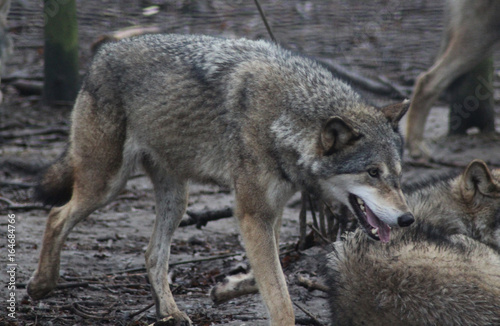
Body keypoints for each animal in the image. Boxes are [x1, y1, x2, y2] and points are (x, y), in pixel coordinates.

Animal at [25, 33, 412, 326]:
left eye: (398, 175)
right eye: (373, 173)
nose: (407, 218)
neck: (284, 117)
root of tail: (102, 54)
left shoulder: (267, 214)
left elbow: (270, 277)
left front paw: (227, 288)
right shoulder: (252, 213)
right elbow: (280, 297)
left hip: (176, 200)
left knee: (152, 254)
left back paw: (170, 313)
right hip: (105, 185)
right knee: (56, 216)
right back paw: (42, 285)